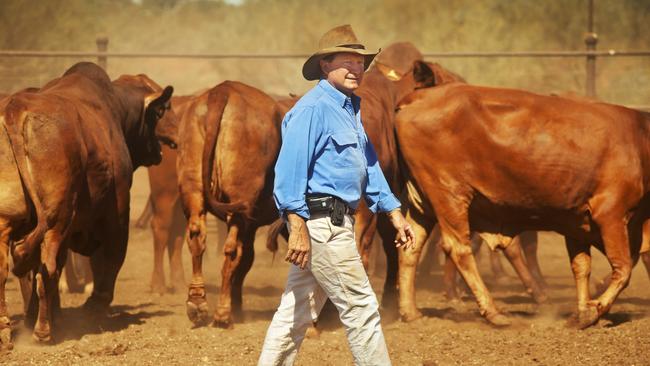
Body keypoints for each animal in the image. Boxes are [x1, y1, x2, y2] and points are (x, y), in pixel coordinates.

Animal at [0, 60, 175, 346]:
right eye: (159, 112)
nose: (161, 150)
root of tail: (15, 109)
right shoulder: (117, 215)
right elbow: (110, 260)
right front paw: (94, 307)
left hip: (11, 221)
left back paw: (9, 328)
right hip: (56, 222)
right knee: (47, 268)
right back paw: (43, 331)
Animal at [177, 81, 278, 328]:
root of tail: (222, 91)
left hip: (193, 187)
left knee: (196, 236)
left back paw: (197, 303)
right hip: (239, 203)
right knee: (232, 251)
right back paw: (223, 312)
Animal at [392, 81, 648, 328]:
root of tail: (418, 97)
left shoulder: (576, 220)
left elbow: (582, 266)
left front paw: (583, 311)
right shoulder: (611, 214)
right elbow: (623, 268)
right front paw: (593, 311)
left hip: (422, 202)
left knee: (410, 247)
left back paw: (410, 313)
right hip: (450, 195)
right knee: (459, 248)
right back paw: (493, 312)